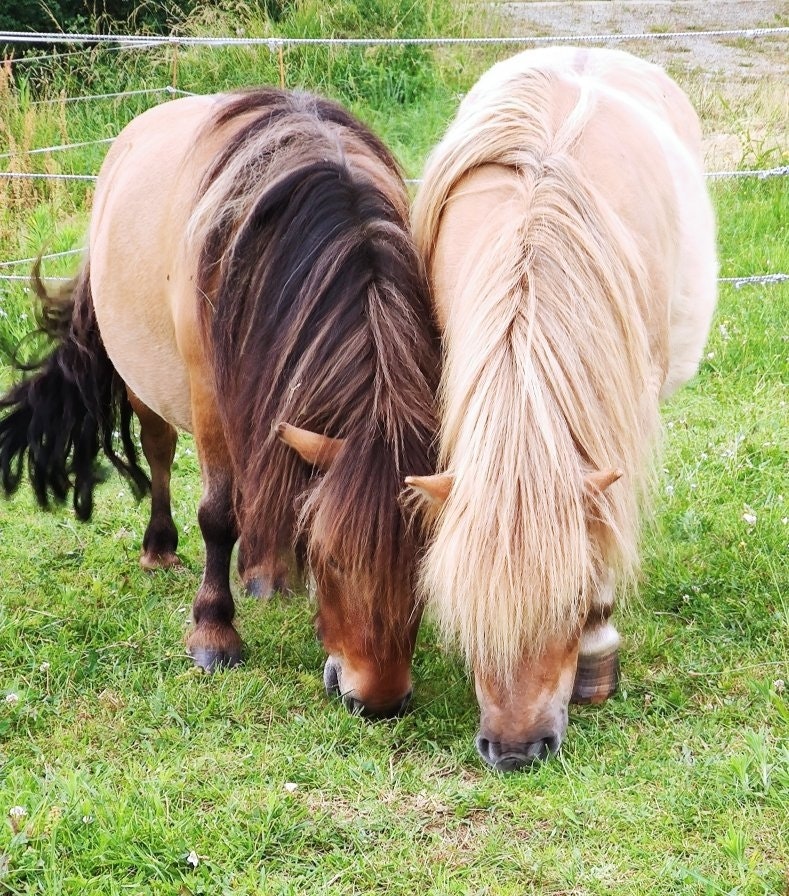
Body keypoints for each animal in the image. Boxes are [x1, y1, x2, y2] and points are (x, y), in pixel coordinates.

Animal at [0, 89, 440, 720]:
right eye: (328, 557)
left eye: (426, 566)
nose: (377, 701)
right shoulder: (210, 400)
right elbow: (218, 515)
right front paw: (213, 631)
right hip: (150, 385)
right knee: (160, 452)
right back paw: (160, 548)